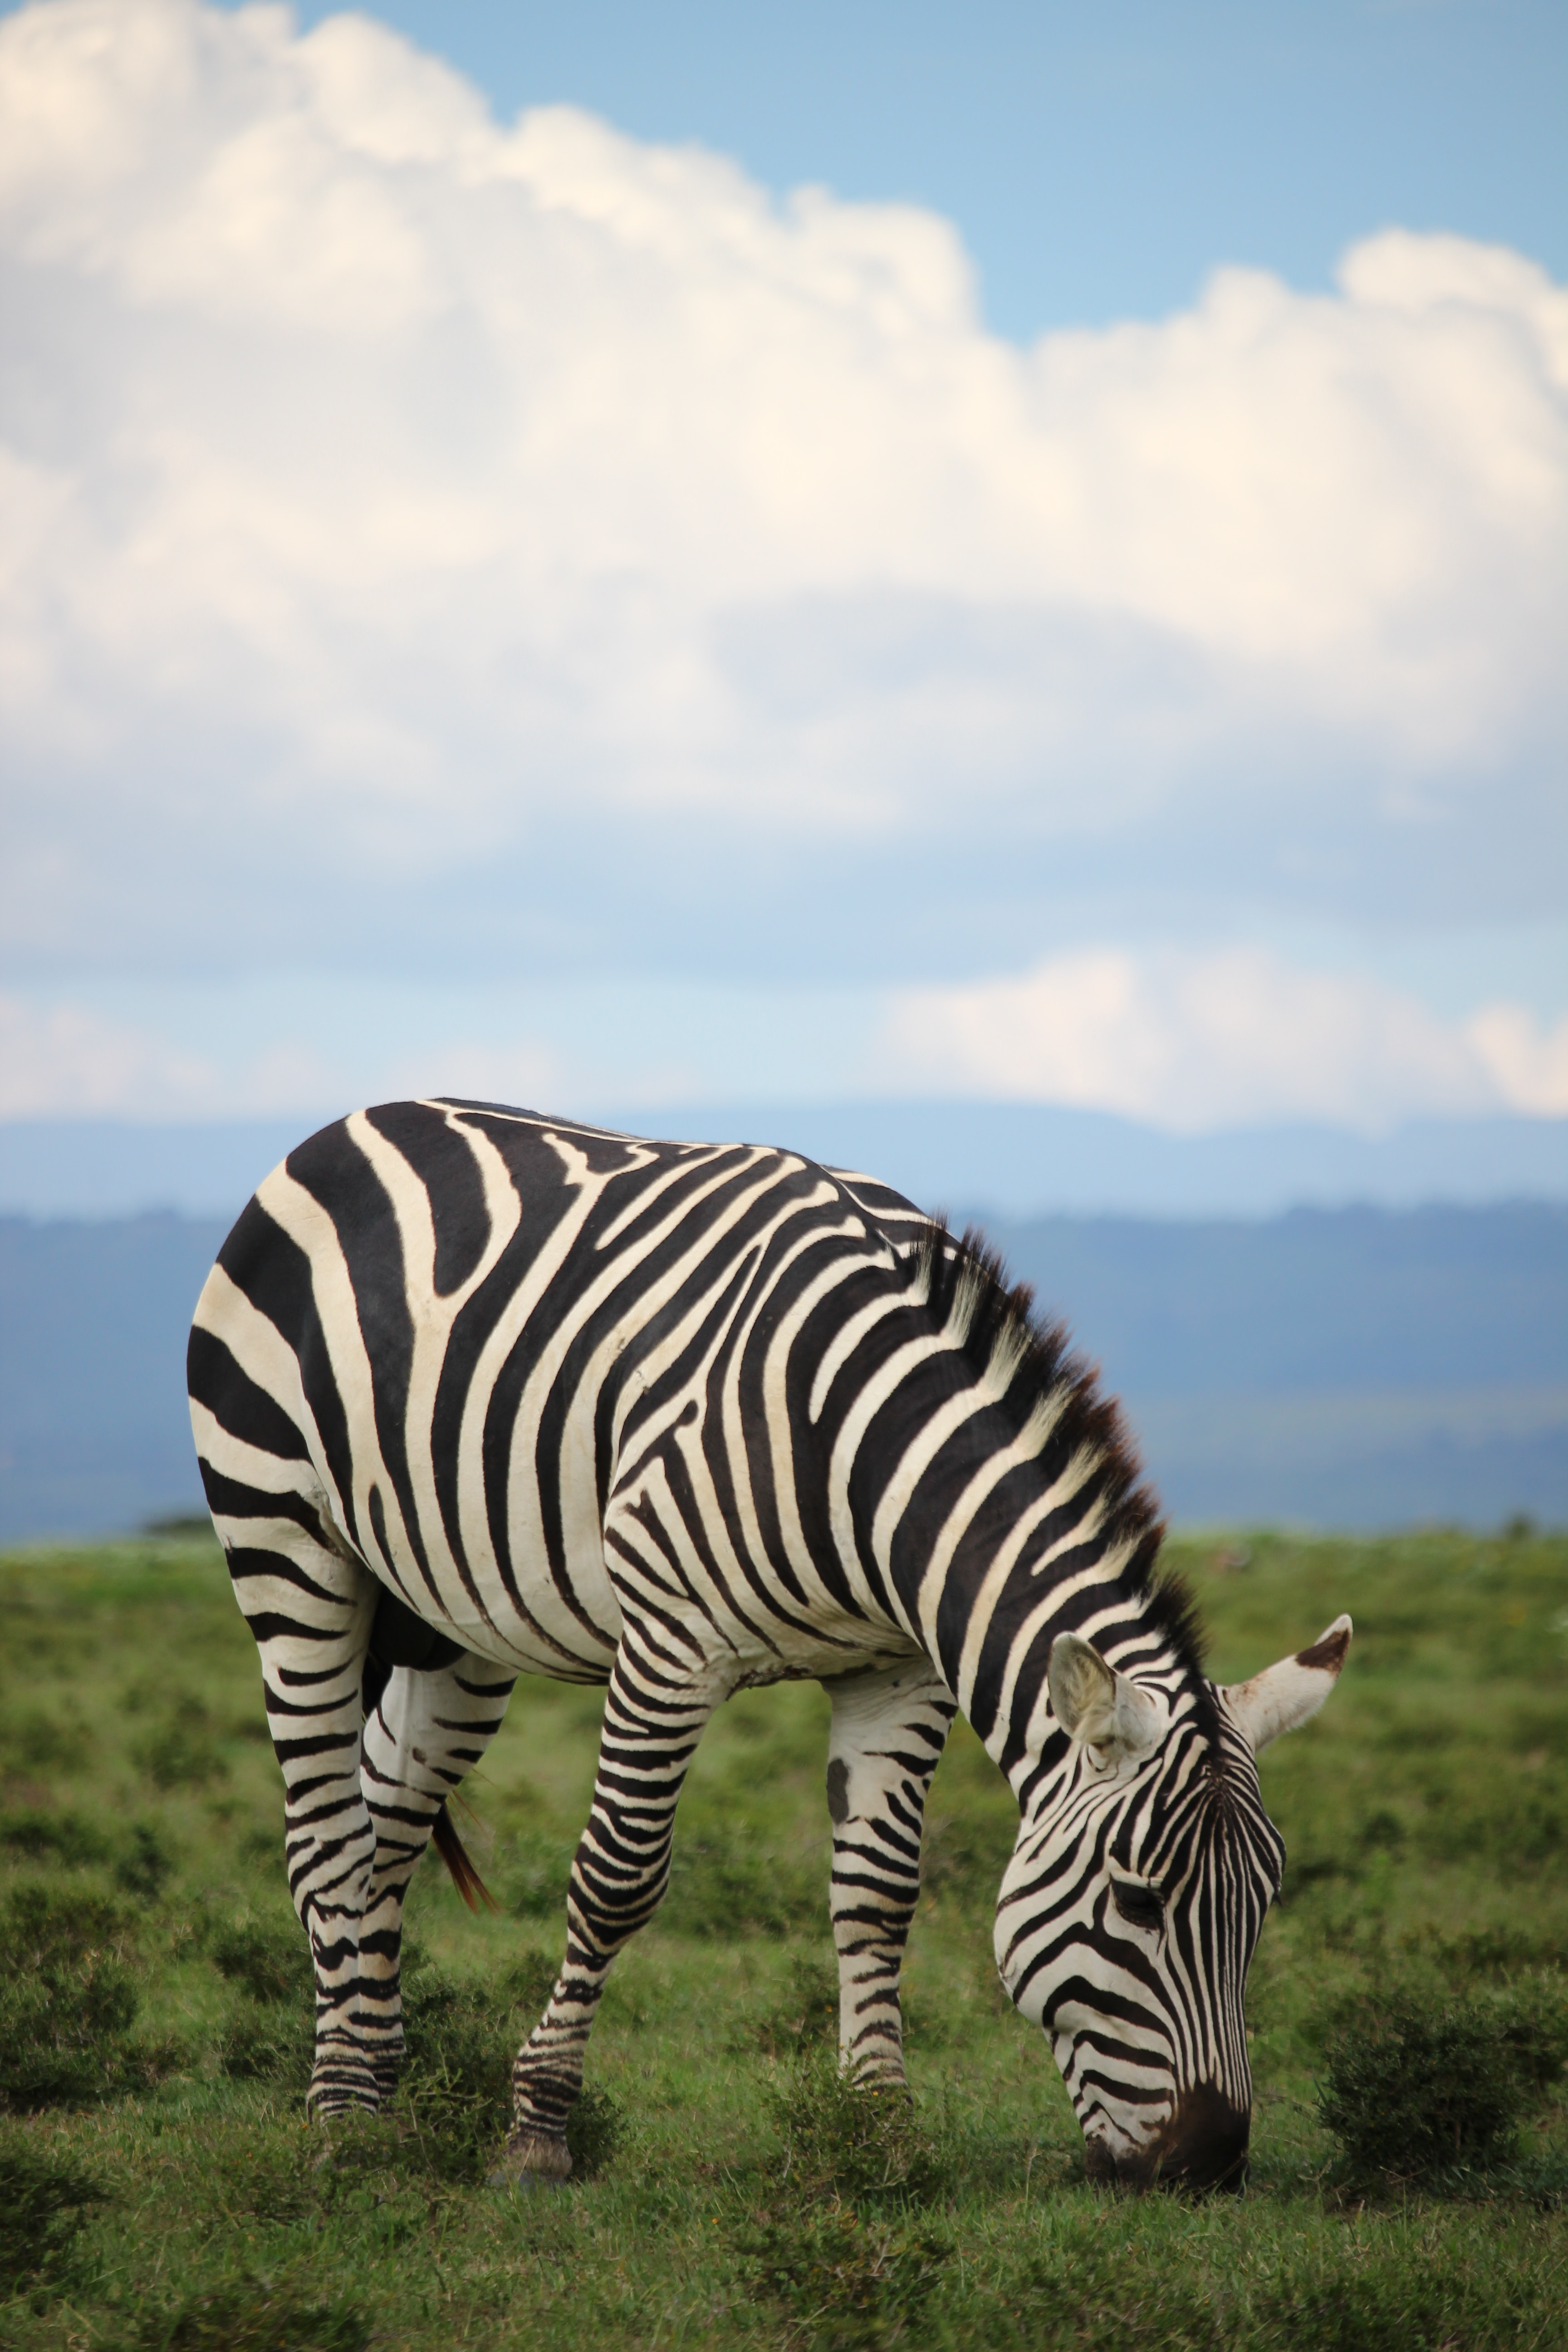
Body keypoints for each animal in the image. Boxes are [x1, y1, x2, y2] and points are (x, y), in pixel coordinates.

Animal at [190, 1101, 1354, 2182]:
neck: (868, 1456)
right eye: (1137, 1901)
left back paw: (375, 2080)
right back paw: (343, 2115)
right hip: (286, 1543)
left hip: (456, 1621)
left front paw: (879, 2125)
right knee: (326, 1835)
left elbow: (880, 1890)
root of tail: (357, 1121)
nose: (1210, 2162)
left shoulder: (897, 1670)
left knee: (385, 1817)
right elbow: (616, 1878)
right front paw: (538, 2130)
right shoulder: (670, 1645)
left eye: (1263, 1904)